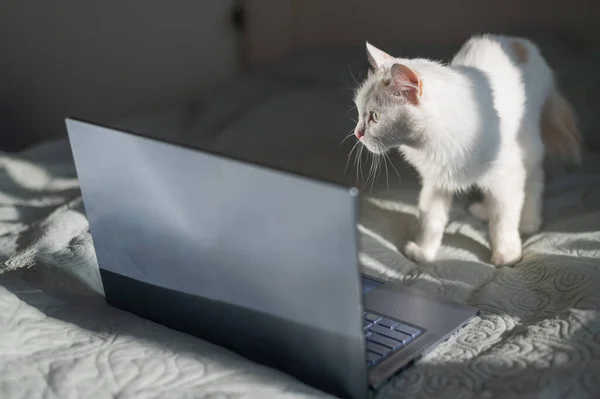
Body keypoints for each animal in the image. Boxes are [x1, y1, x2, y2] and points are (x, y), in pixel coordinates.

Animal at [352, 33, 580, 266]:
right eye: (360, 112)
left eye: (375, 117)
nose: (357, 133)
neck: (433, 145)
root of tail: (519, 42)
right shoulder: (436, 183)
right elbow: (430, 220)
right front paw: (423, 252)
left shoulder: (508, 175)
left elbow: (503, 221)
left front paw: (507, 255)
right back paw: (484, 210)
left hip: (527, 141)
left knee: (534, 180)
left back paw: (528, 223)